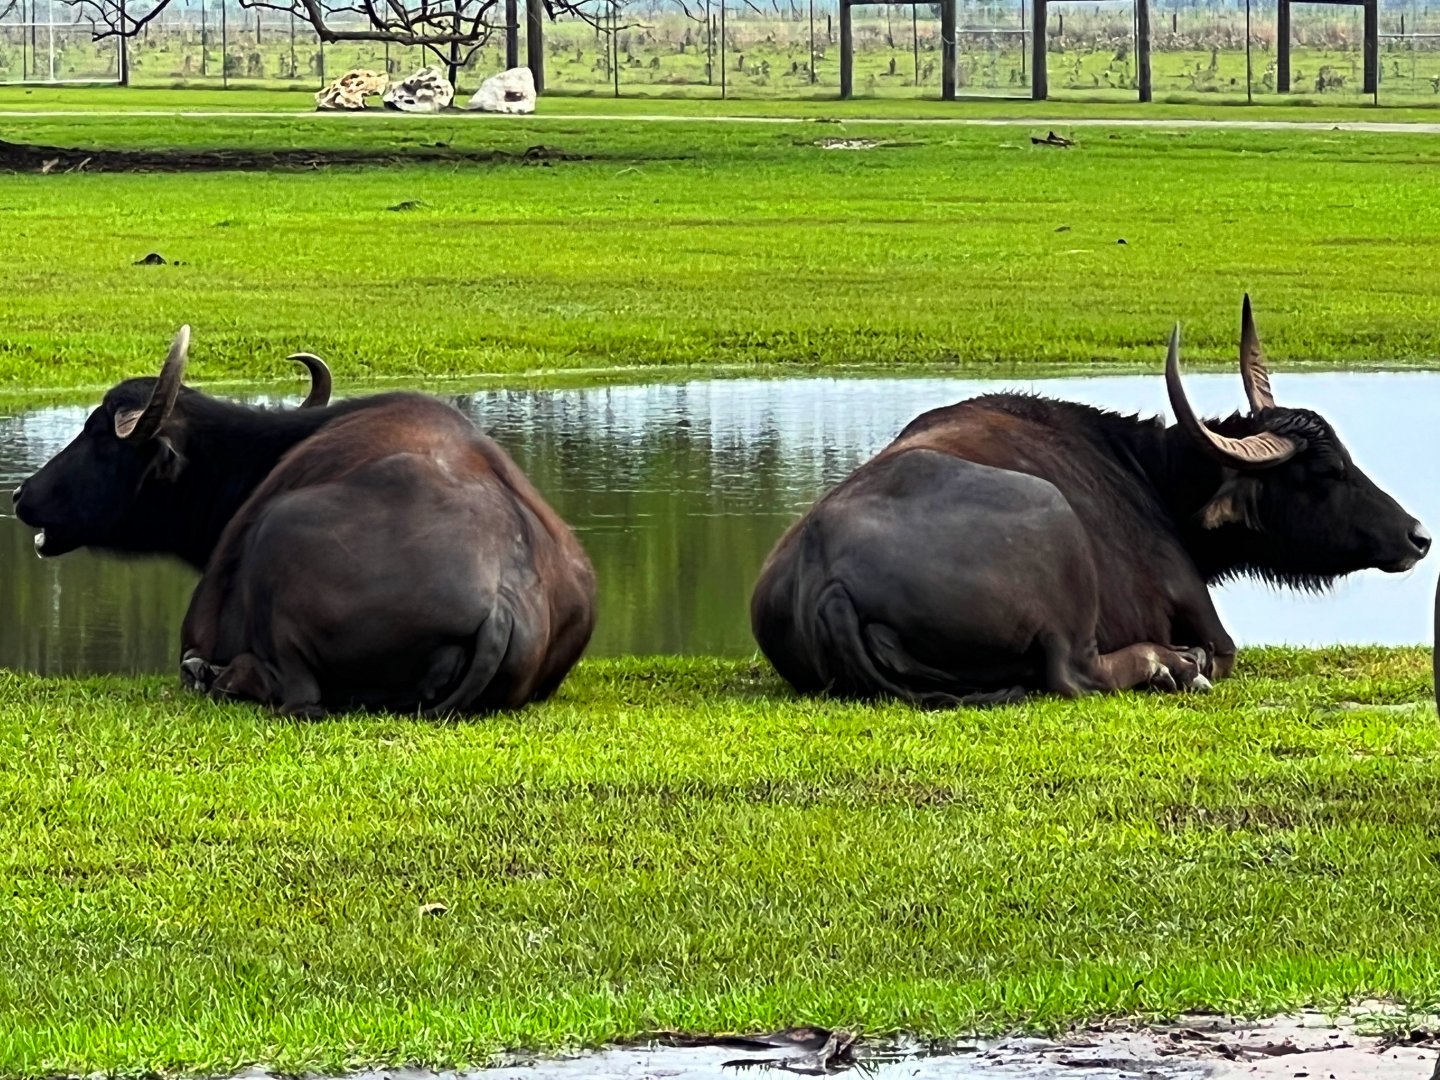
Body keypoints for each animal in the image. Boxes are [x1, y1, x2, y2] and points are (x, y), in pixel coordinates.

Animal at [13, 328, 596, 716]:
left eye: (98, 434)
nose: (21, 494)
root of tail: (500, 604)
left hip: (280, 534)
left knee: (296, 695)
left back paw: (209, 675)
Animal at [751, 297, 1430, 706]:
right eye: (1328, 470)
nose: (1418, 535)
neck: (1148, 474)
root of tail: (826, 578)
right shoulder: (1200, 610)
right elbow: (1225, 654)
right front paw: (1186, 660)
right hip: (1055, 529)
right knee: (1074, 675)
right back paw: (1171, 664)